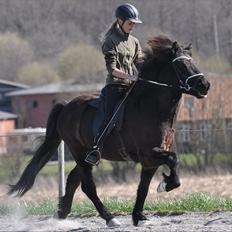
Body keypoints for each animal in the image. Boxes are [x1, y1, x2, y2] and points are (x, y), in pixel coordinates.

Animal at [8, 34, 210, 227]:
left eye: (193, 61)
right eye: (182, 64)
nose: (204, 85)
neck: (150, 108)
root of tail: (66, 106)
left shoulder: (149, 161)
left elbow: (143, 188)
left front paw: (139, 216)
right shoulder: (149, 154)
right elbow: (173, 160)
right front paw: (165, 185)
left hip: (85, 156)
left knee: (73, 180)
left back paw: (61, 215)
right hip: (78, 151)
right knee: (88, 187)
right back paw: (109, 218)